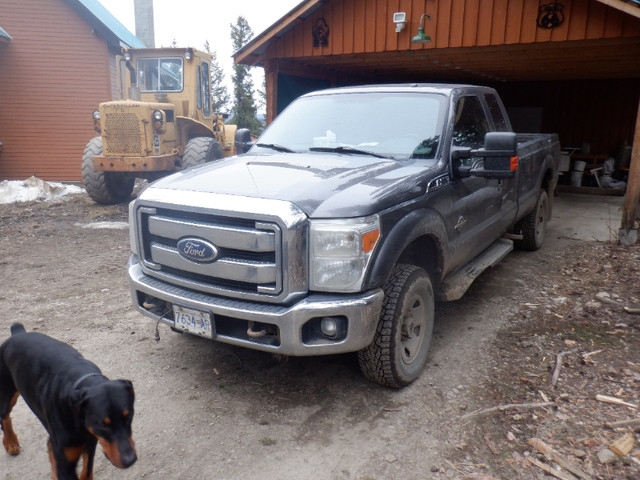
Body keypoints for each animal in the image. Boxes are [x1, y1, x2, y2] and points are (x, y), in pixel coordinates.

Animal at [0, 324, 136, 478]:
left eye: (129, 416)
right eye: (102, 424)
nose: (130, 460)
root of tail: (18, 332)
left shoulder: (90, 441)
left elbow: (87, 472)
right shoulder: (63, 456)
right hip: (7, 391)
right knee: (5, 416)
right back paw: (11, 442)